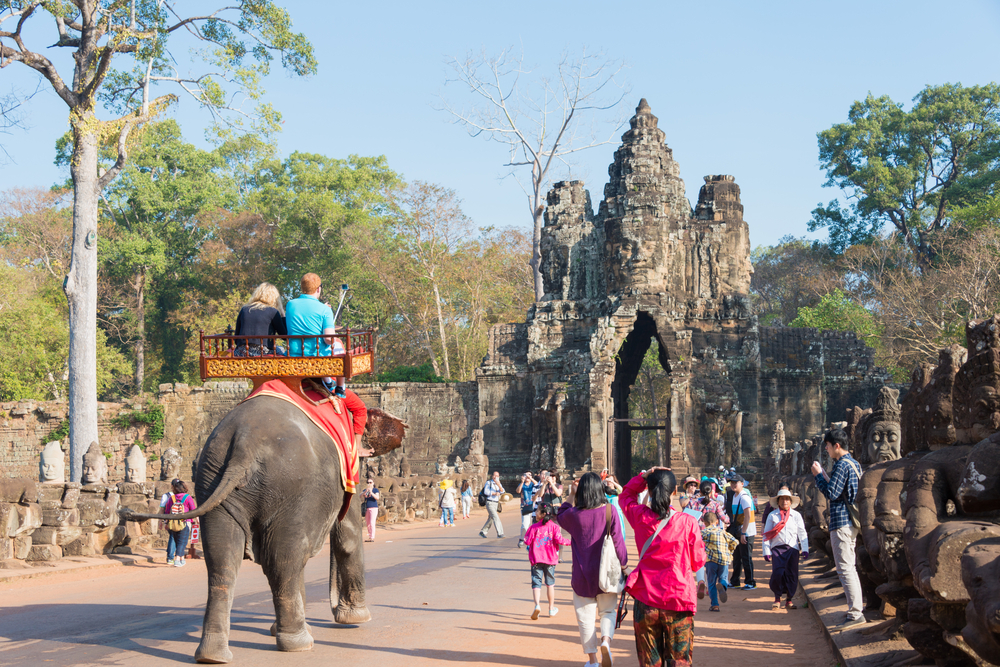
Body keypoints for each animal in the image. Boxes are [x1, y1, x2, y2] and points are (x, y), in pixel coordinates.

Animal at [120, 396, 406, 664]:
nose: (335, 609)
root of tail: (244, 443)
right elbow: (346, 537)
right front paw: (356, 619)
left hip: (212, 479)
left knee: (223, 560)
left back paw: (213, 656)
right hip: (292, 487)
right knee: (283, 558)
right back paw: (299, 643)